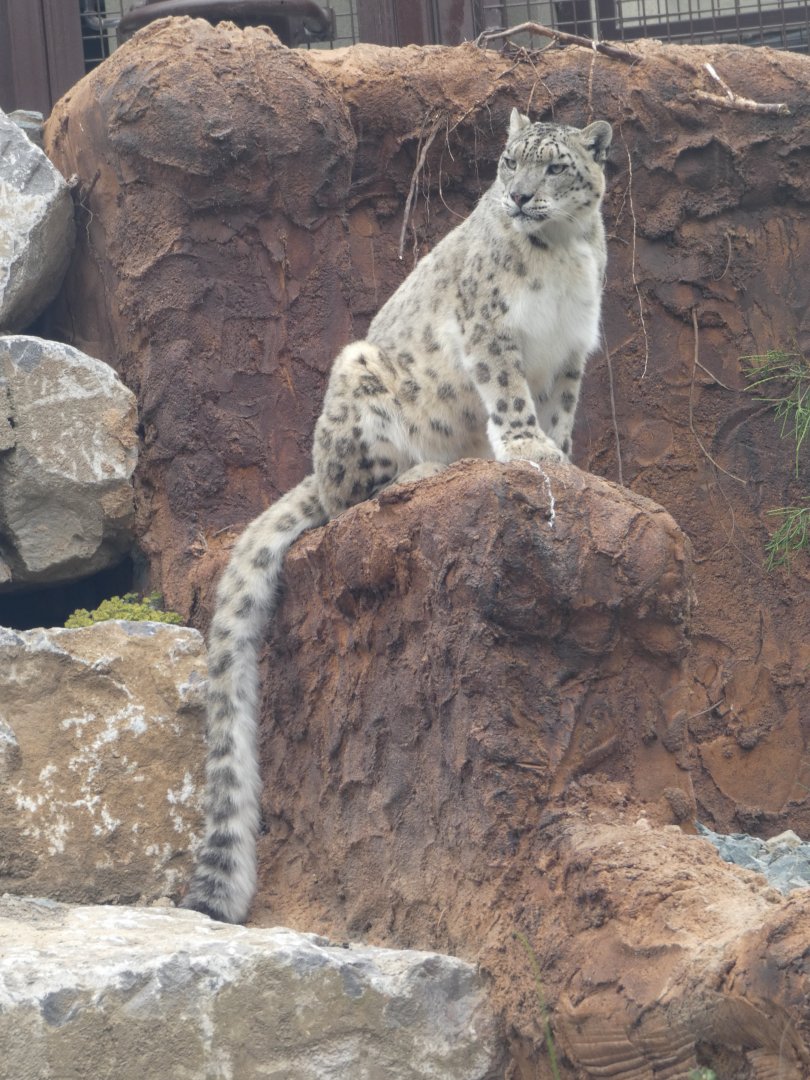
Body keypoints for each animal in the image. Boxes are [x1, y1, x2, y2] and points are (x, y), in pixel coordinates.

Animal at [183, 109, 613, 923]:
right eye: (509, 162)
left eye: (555, 166)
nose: (518, 198)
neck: (564, 256)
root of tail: (315, 465)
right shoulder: (490, 330)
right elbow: (509, 395)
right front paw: (528, 449)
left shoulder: (573, 353)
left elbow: (564, 414)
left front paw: (568, 460)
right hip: (360, 379)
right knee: (348, 495)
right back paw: (428, 468)